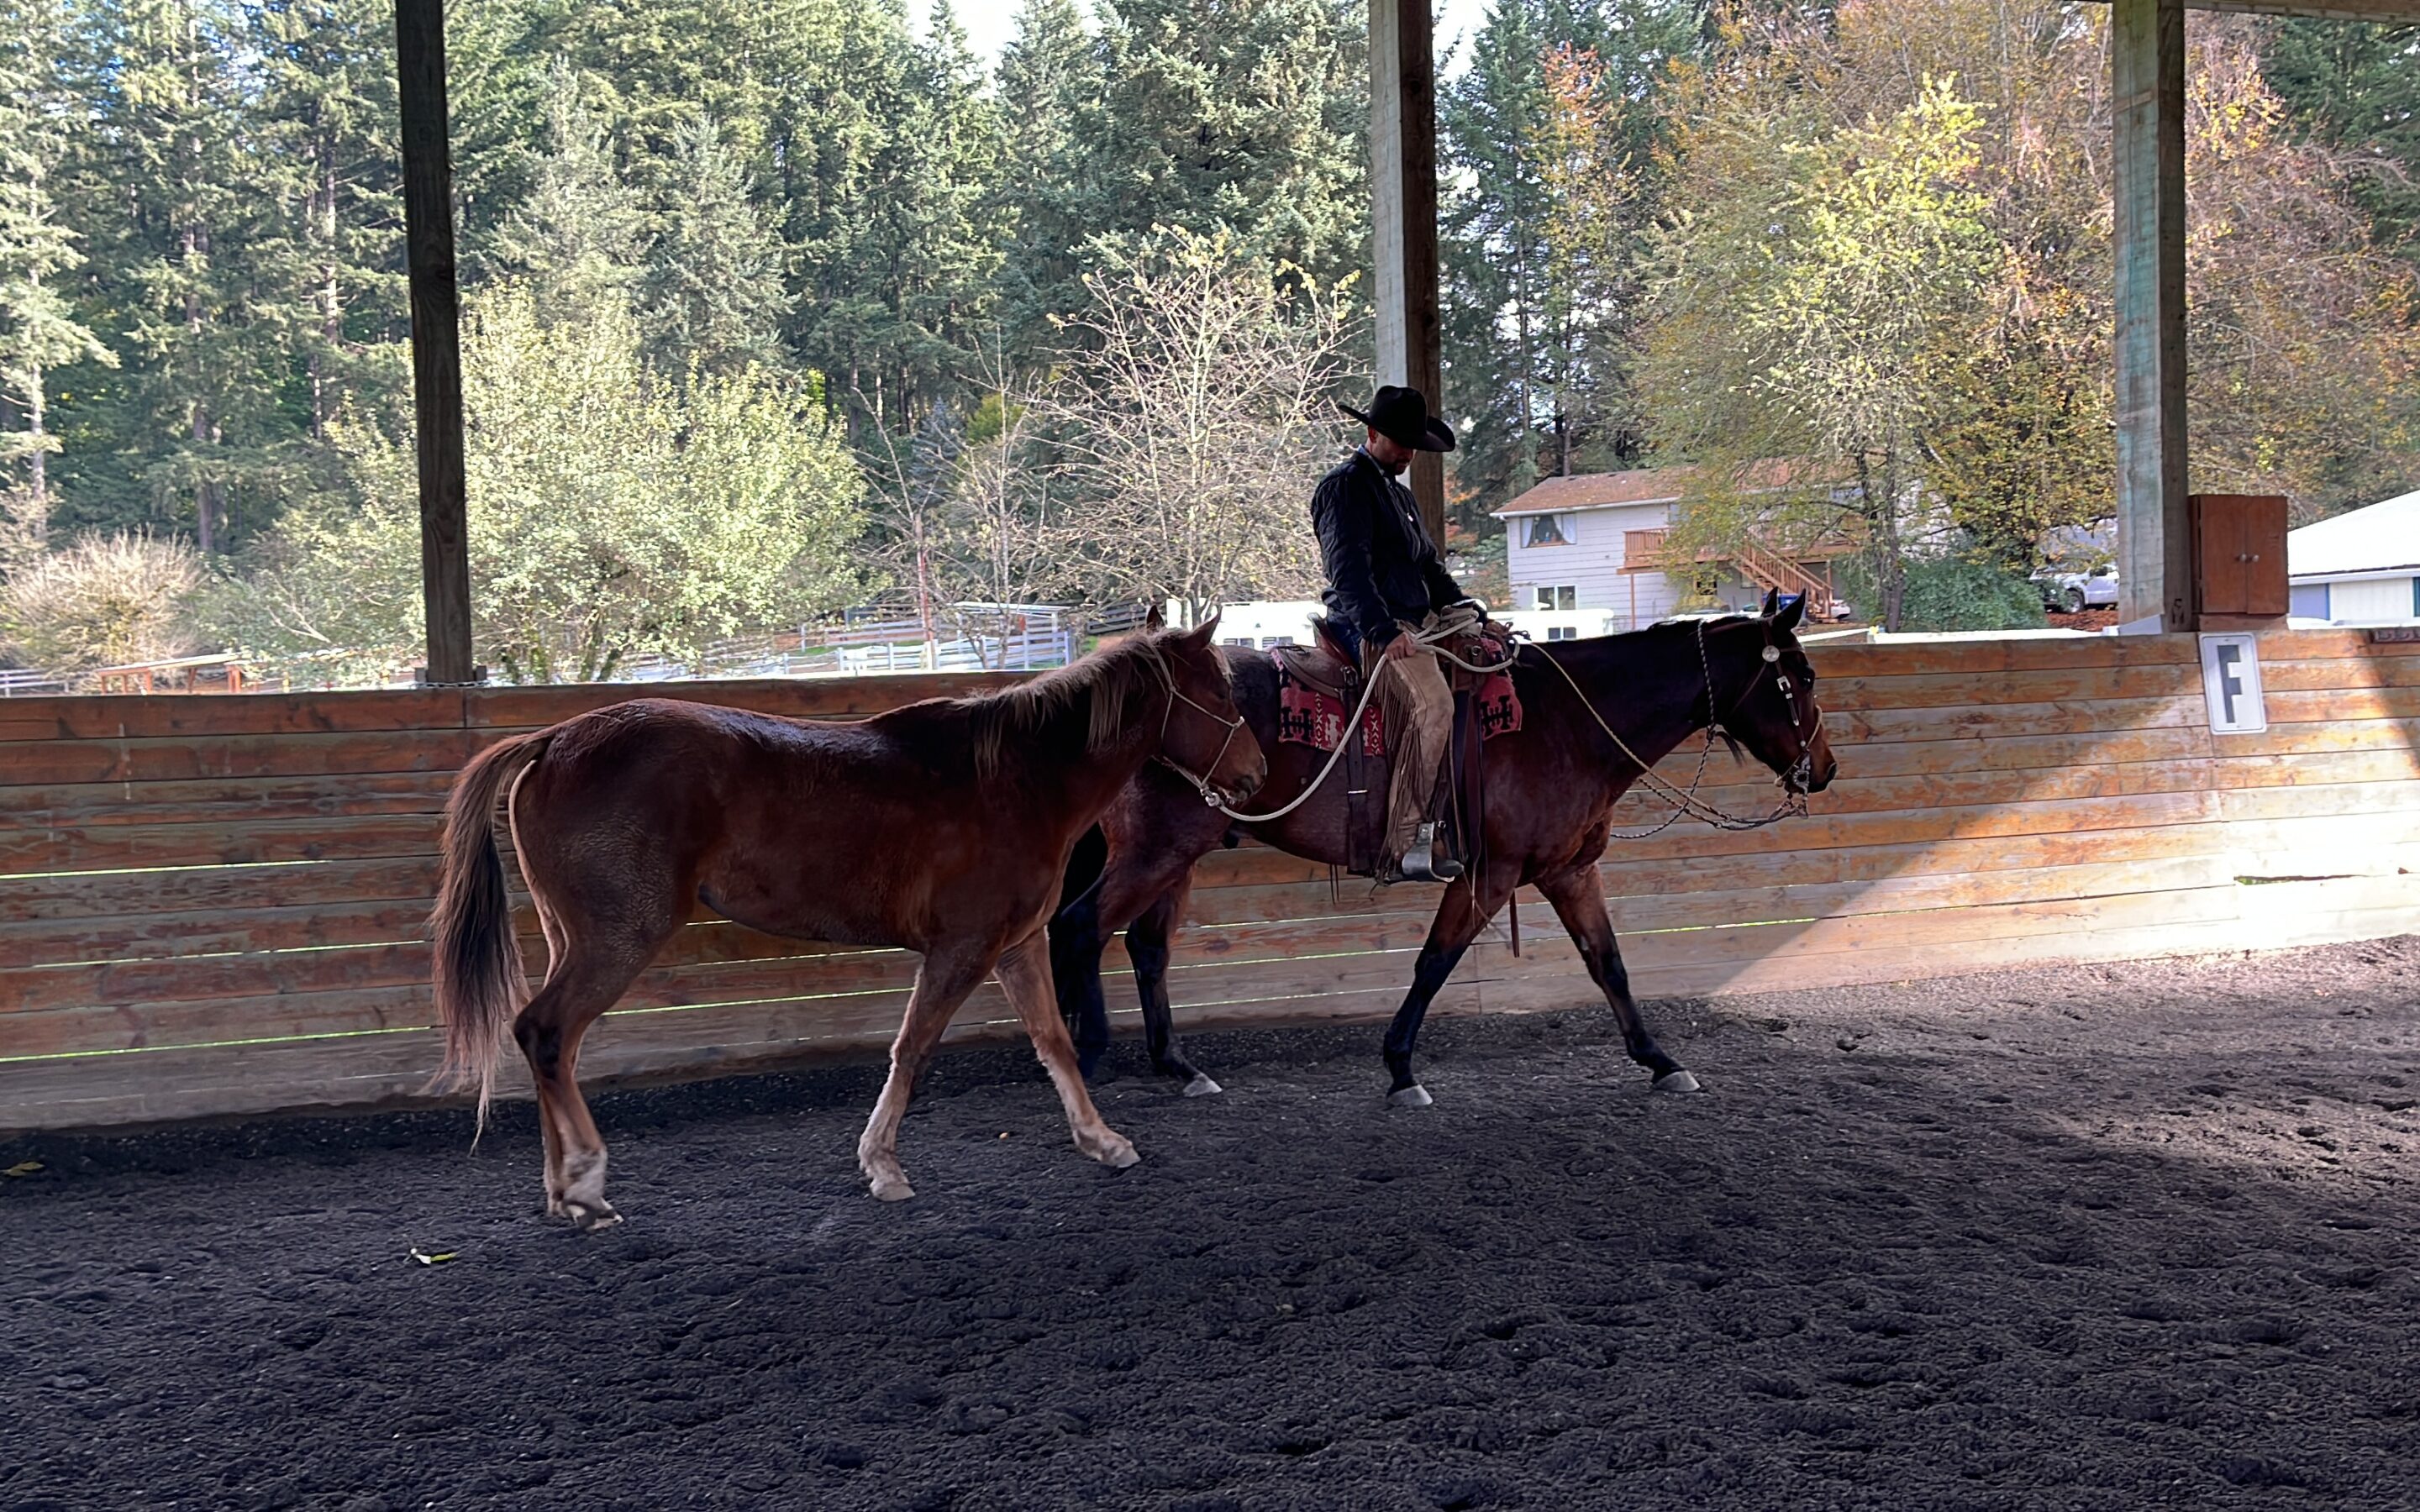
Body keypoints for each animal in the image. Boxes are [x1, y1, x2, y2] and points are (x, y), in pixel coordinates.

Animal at [428, 617, 1268, 1229]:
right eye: (1223, 694)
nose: (1257, 774)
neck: (1020, 779)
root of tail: (552, 742)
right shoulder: (961, 950)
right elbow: (912, 1049)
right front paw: (883, 1167)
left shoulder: (1017, 946)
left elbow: (1054, 1043)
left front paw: (1102, 1140)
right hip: (617, 939)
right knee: (545, 1031)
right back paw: (585, 1182)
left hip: (571, 938)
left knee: (551, 1044)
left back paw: (563, 1189)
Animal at [1055, 595, 1829, 1103]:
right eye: (1802, 678)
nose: (1822, 769)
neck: (1568, 722)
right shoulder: (1491, 874)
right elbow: (1435, 962)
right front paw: (1401, 1069)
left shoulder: (1570, 871)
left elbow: (1608, 963)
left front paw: (1660, 1059)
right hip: (1155, 852)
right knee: (1081, 928)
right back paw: (1087, 1055)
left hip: (1181, 857)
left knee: (1146, 949)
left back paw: (1180, 1068)